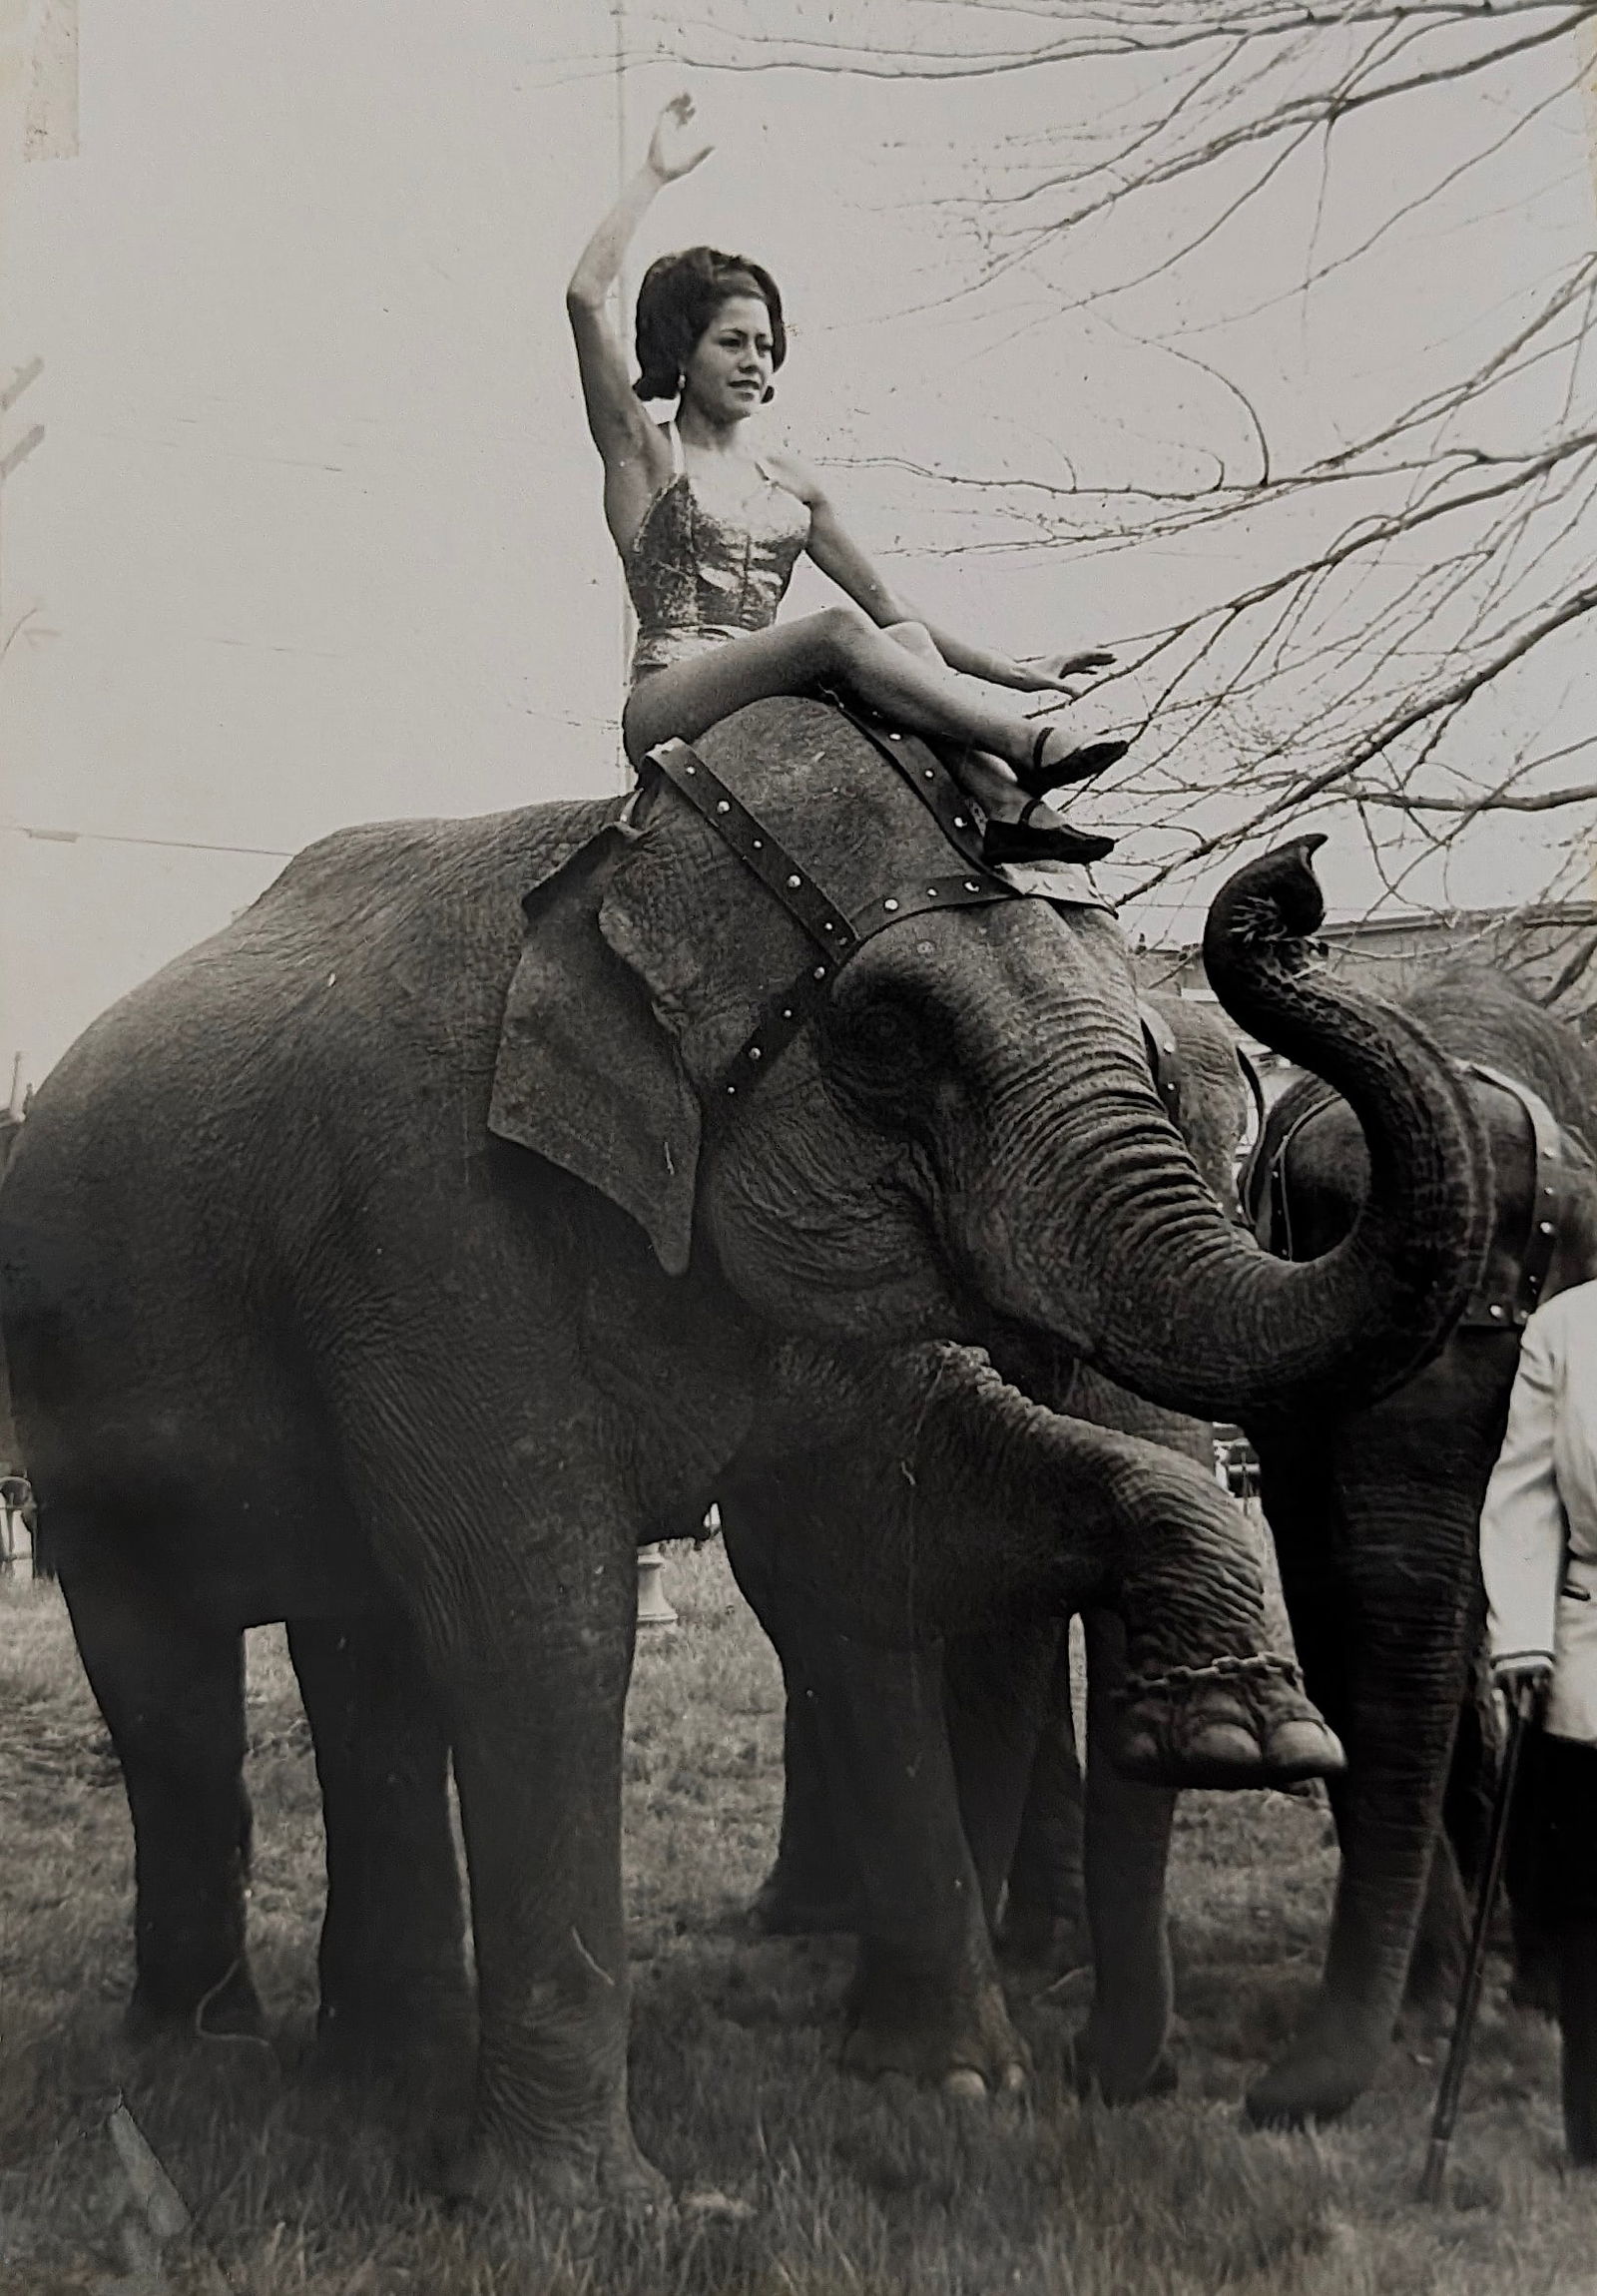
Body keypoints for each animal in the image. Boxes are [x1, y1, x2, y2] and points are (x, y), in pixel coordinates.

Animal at [1237, 964, 1597, 2125]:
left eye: (1512, 1421)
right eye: (1326, 1429)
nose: (1264, 2097)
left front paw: (1529, 2001)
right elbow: (1327, 1603)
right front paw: (1428, 2003)